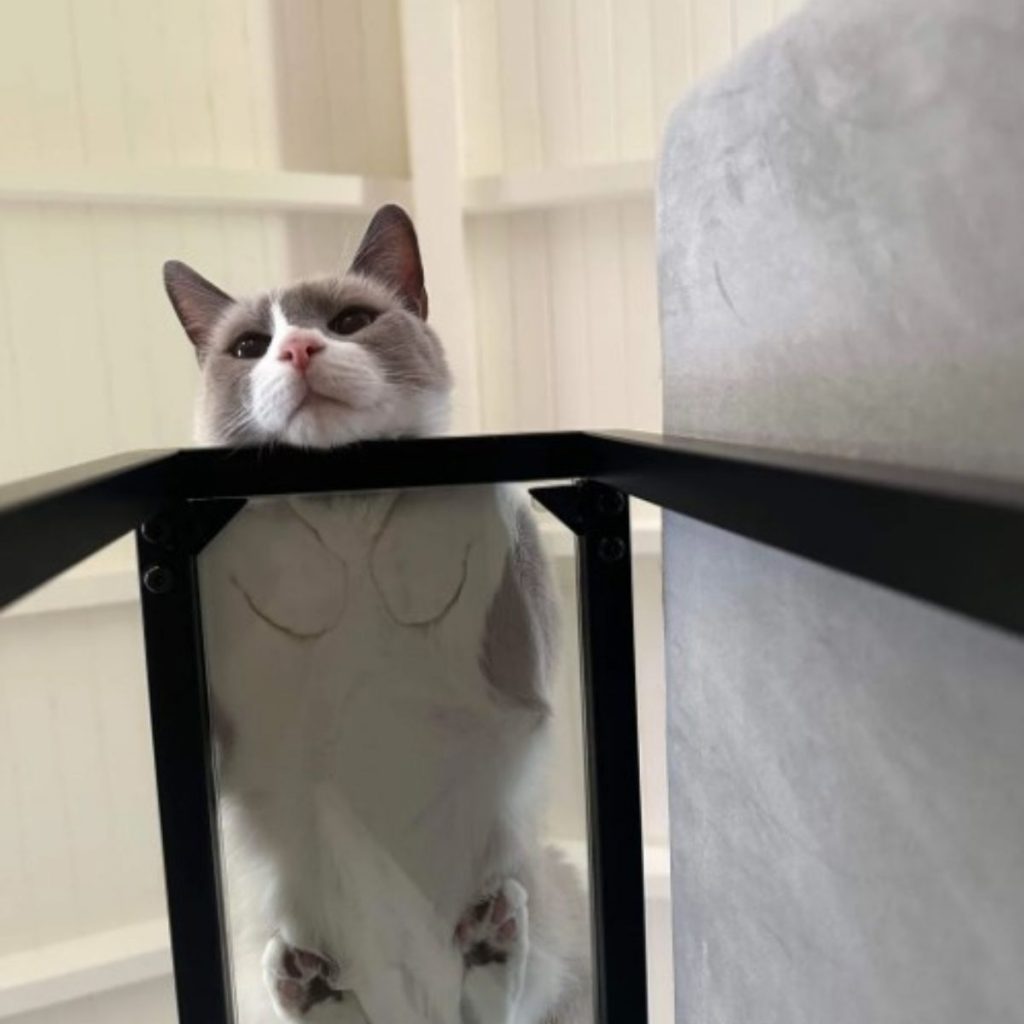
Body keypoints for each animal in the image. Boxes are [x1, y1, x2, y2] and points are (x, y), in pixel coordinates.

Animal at [161, 205, 593, 1024]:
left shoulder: (522, 675)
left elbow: (475, 494)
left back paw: (489, 941)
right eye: (249, 346)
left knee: (499, 997)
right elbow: (262, 528)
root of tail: (413, 1011)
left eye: (350, 322)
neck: (349, 504)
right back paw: (308, 983)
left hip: (550, 883)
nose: (298, 348)